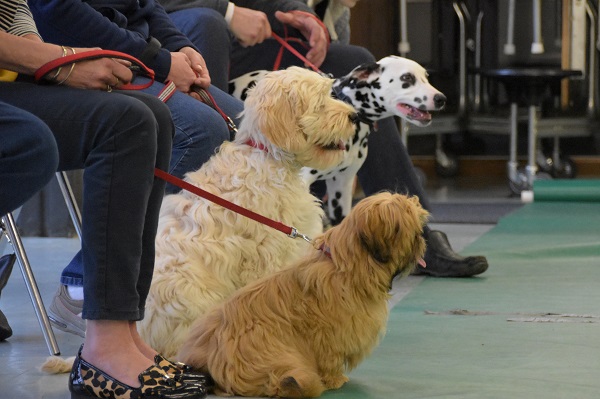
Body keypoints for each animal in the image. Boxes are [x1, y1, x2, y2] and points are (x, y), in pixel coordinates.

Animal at [178, 192, 426, 398]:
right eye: (413, 232)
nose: (423, 238)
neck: (344, 267)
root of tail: (211, 362)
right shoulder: (330, 334)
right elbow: (330, 357)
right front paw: (335, 379)